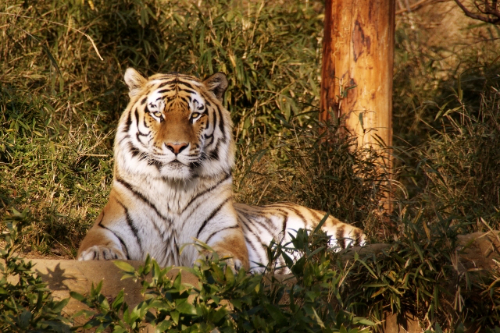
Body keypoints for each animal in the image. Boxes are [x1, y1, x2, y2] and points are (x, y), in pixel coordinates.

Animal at [78, 68, 368, 272]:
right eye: (158, 115)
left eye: (194, 115)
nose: (176, 146)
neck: (172, 189)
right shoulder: (107, 228)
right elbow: (97, 245)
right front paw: (101, 255)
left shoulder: (224, 231)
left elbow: (224, 253)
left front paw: (219, 262)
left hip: (336, 232)